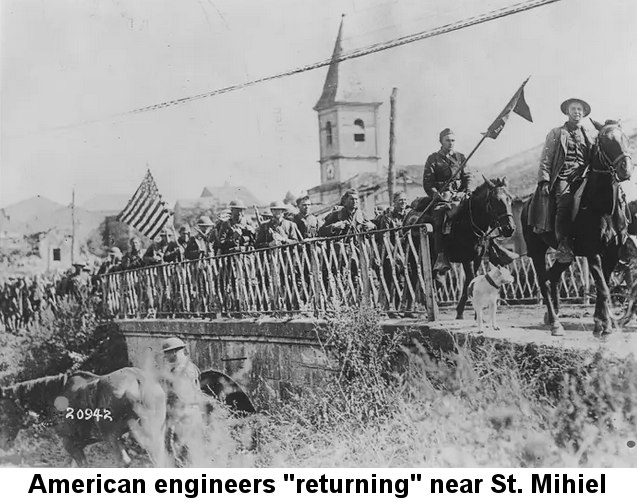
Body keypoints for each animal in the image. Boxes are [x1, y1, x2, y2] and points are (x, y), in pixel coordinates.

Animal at [0, 364, 170, 466]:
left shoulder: (68, 442)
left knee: (125, 461)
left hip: (115, 436)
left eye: (3, 413)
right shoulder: (77, 444)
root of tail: (137, 380)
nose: (3, 444)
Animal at [408, 176, 516, 318]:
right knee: (417, 276)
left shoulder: (477, 258)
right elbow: (470, 279)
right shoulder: (466, 259)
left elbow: (470, 280)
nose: (510, 228)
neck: (468, 220)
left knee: (433, 278)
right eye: (496, 200)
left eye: (510, 199)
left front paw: (465, 311)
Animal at [520, 119, 632, 336]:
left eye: (625, 138)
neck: (602, 206)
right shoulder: (593, 252)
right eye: (604, 140)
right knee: (544, 282)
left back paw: (551, 316)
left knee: (553, 276)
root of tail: (527, 203)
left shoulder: (612, 253)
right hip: (536, 251)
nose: (626, 169)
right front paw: (605, 326)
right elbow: (603, 287)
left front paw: (599, 322)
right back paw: (555, 324)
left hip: (567, 255)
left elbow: (603, 285)